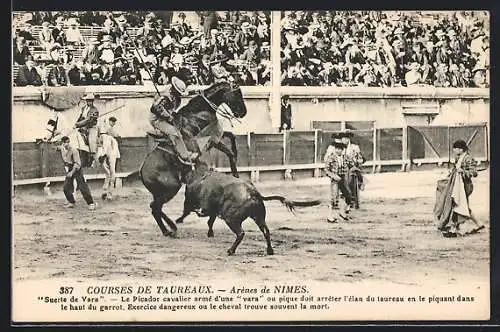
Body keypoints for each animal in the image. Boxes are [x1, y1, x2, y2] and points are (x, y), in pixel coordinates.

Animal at [139, 81, 248, 237]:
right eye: (236, 94)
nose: (243, 112)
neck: (197, 113)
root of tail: (142, 171)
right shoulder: (211, 139)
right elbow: (229, 150)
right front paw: (235, 173)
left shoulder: (215, 137)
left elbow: (231, 138)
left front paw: (236, 165)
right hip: (172, 188)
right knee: (155, 208)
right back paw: (170, 228)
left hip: (160, 192)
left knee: (155, 208)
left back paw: (170, 228)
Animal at [174, 160, 322, 255]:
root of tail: (253, 191)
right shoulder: (213, 210)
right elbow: (210, 221)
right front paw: (210, 233)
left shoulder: (189, 200)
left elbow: (186, 211)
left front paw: (178, 220)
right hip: (259, 217)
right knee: (266, 231)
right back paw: (270, 251)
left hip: (231, 219)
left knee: (241, 233)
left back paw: (231, 251)